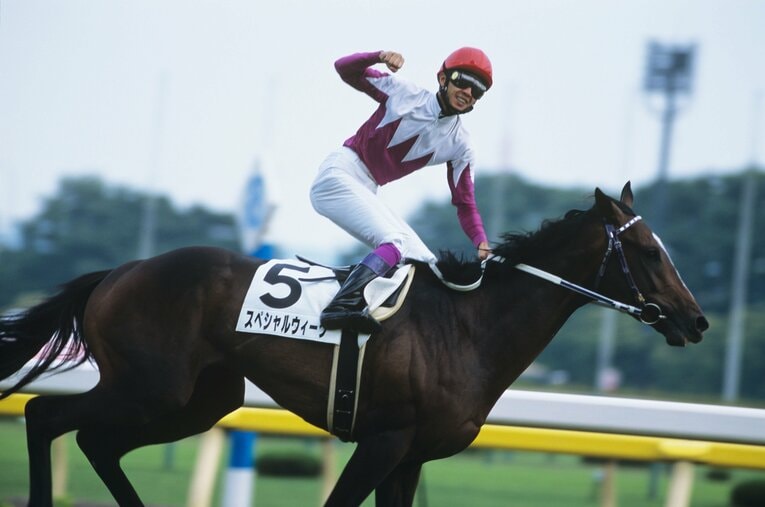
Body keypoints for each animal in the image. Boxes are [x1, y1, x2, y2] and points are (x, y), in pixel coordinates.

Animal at [0, 183, 707, 507]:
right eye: (649, 252)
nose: (697, 321)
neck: (466, 328)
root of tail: (117, 273)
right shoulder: (384, 441)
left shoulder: (412, 457)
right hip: (151, 388)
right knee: (45, 414)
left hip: (199, 401)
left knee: (95, 441)